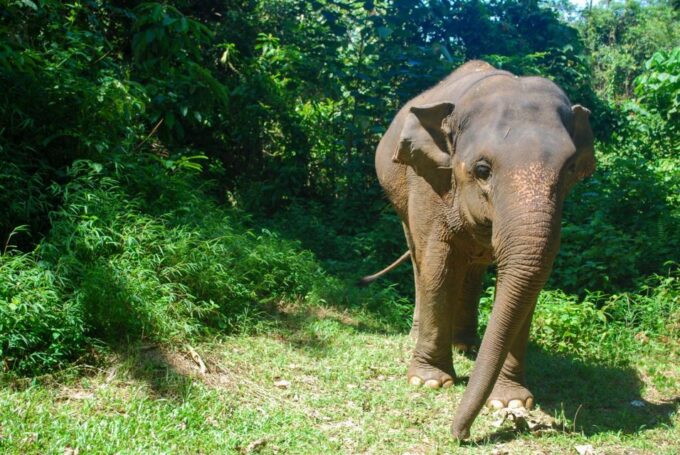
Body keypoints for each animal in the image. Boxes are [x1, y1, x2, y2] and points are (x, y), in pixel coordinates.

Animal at [364, 60, 595, 439]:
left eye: (571, 169)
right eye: (482, 170)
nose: (459, 434)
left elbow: (524, 284)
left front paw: (510, 402)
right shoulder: (429, 182)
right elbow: (438, 263)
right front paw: (429, 382)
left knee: (473, 269)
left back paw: (467, 346)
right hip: (397, 195)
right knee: (419, 259)